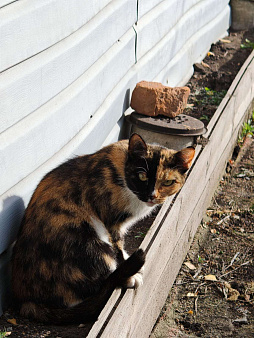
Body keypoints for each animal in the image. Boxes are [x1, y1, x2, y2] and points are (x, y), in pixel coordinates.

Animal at [10, 133, 195, 324]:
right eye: (142, 176)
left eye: (168, 182)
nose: (152, 196)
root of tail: (25, 301)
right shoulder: (110, 223)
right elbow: (118, 248)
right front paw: (128, 272)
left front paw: (128, 259)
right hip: (88, 240)